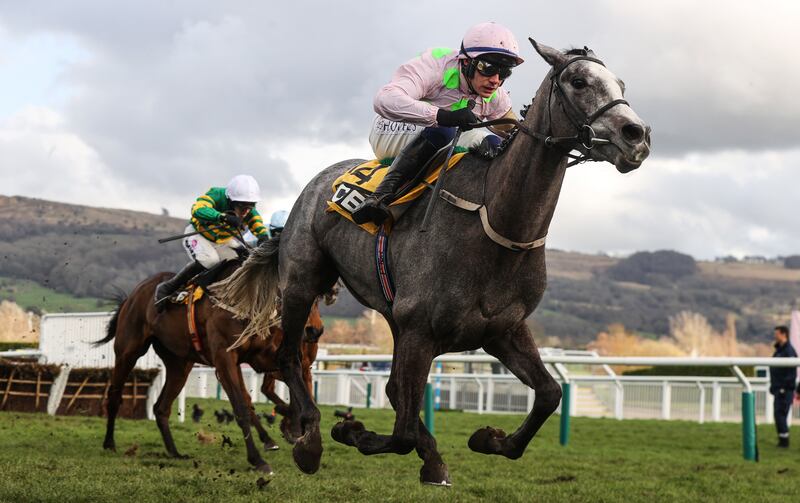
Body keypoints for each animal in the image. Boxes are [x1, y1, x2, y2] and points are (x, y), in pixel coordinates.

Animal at [96, 260, 324, 476]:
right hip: (128, 352)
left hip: (179, 364)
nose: (314, 330)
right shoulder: (225, 359)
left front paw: (296, 429)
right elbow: (242, 407)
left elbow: (297, 385)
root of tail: (132, 295)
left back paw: (175, 452)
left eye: (318, 297)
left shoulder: (262, 357)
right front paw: (258, 459)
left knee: (161, 407)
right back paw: (109, 443)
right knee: (115, 395)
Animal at [214, 40, 648, 484]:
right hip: (303, 282)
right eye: (578, 81)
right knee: (290, 358)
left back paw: (430, 458)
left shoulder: (502, 330)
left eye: (621, 83)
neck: (493, 221)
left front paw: (489, 439)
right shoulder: (420, 329)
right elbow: (402, 432)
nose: (637, 136)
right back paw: (311, 441)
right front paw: (352, 432)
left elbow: (549, 394)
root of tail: (315, 183)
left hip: (392, 313)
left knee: (391, 388)